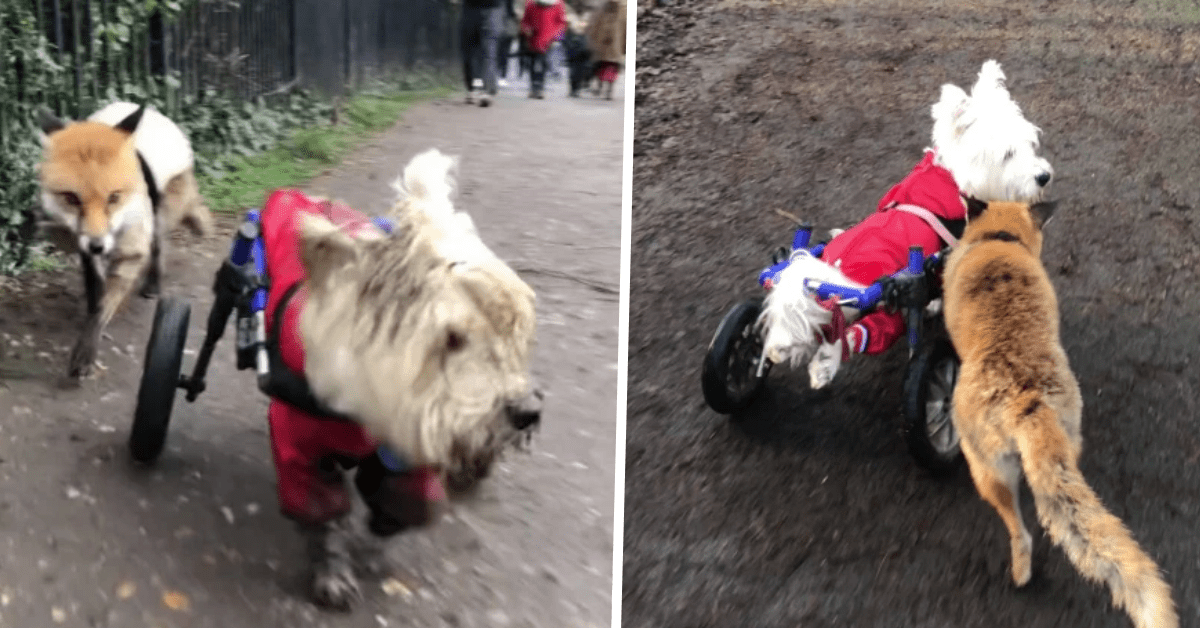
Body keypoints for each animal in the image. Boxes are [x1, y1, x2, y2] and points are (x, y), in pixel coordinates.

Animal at [35, 100, 213, 381]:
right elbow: (95, 296)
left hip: (158, 218)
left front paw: (86, 354)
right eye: (71, 198)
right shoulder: (88, 256)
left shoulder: (130, 255)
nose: (97, 245)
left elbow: (101, 310)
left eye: (114, 197)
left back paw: (153, 285)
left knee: (159, 250)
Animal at [758, 61, 1051, 391]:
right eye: (1008, 154)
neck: (951, 177)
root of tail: (828, 273)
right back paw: (825, 363)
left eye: (1030, 144)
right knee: (858, 334)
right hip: (890, 305)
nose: (1044, 177)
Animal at [940, 199, 1176, 628]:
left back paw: (1021, 574)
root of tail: (1027, 401)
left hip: (985, 470)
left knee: (1021, 532)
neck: (999, 239)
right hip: (1071, 438)